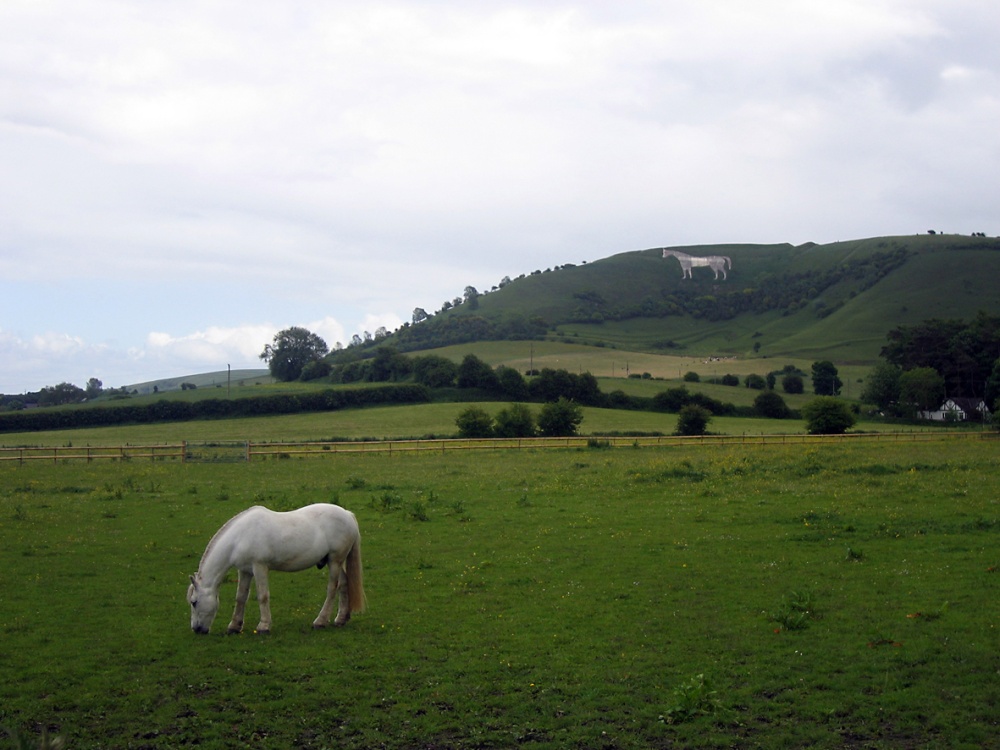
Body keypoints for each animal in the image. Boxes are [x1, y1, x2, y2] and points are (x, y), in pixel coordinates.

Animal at [187, 503, 366, 634]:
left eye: (194, 602)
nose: (196, 629)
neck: (241, 536)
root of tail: (347, 514)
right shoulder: (245, 571)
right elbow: (241, 597)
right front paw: (234, 626)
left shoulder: (259, 567)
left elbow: (263, 596)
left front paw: (264, 626)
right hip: (335, 561)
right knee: (344, 584)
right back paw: (341, 619)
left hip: (335, 561)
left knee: (332, 589)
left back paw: (320, 621)